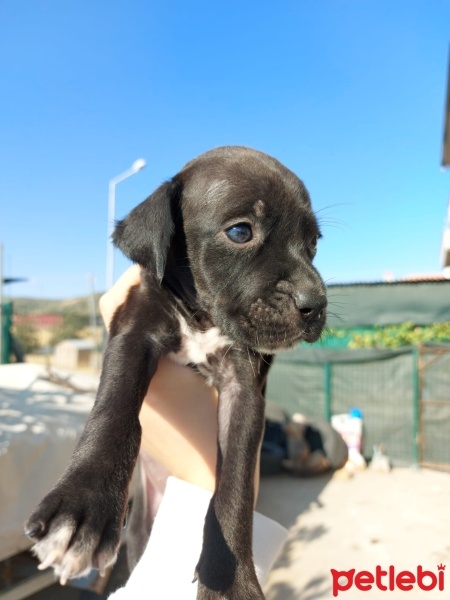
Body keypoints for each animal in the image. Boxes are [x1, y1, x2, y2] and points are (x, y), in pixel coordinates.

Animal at [25, 146, 326, 600]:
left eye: (312, 245)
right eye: (241, 232)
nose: (317, 303)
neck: (201, 319)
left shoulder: (244, 388)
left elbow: (235, 485)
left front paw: (231, 583)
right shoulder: (133, 333)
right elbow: (114, 410)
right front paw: (83, 503)